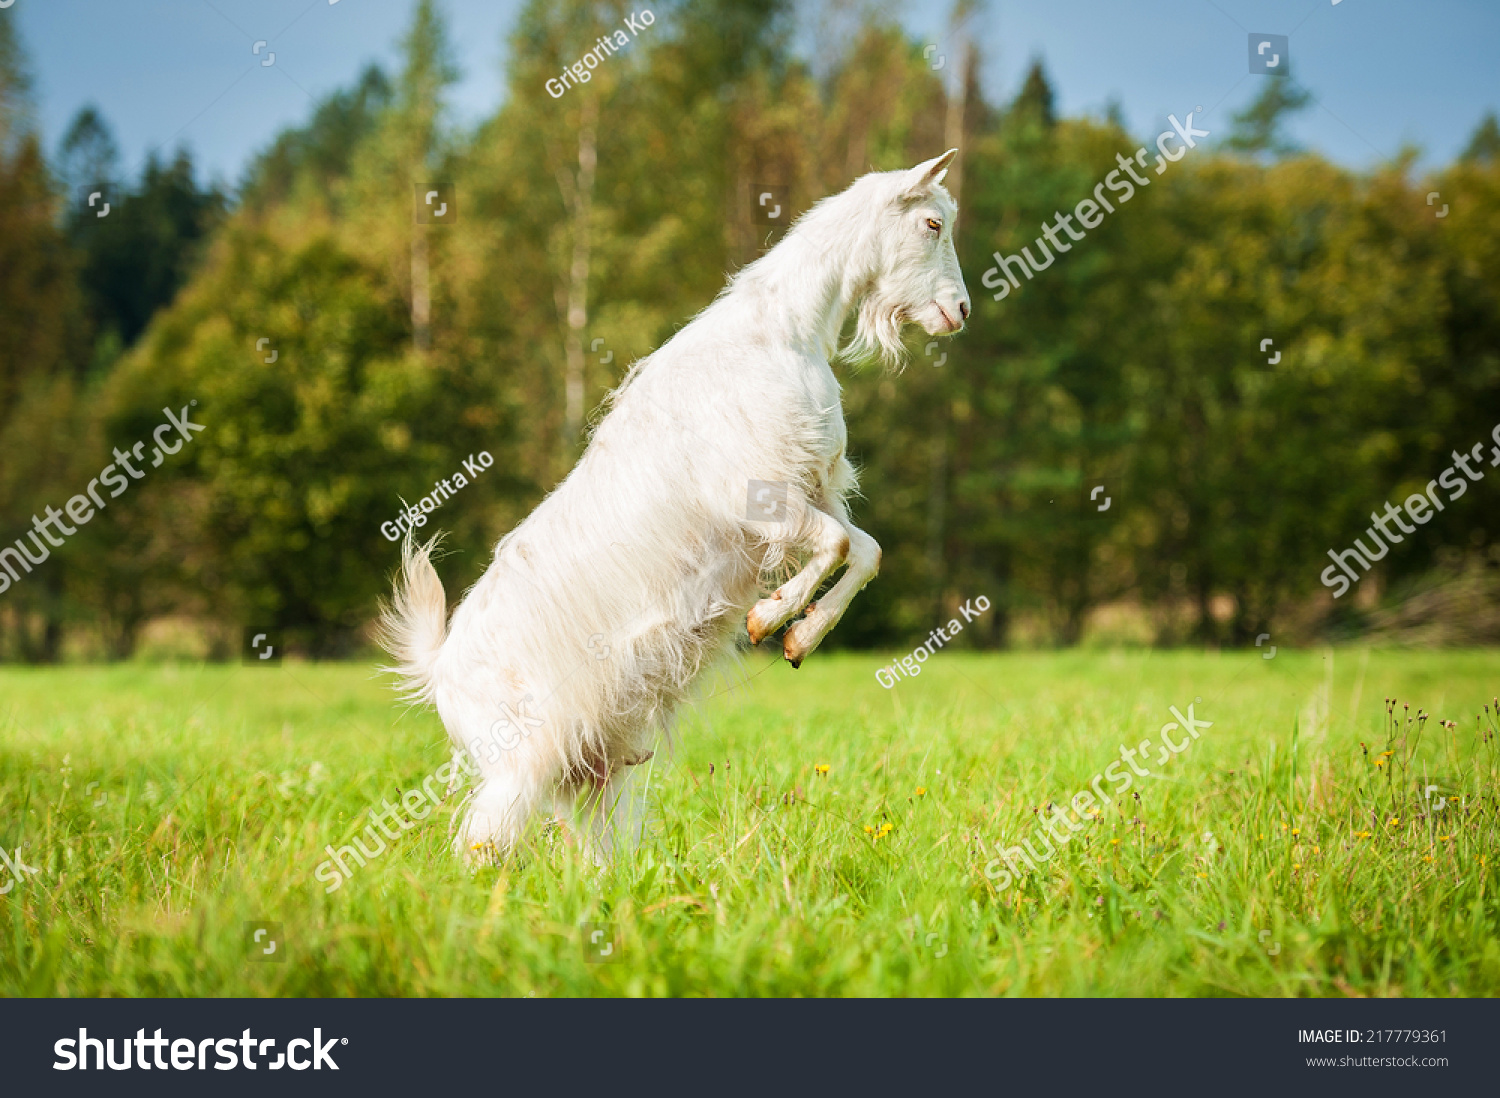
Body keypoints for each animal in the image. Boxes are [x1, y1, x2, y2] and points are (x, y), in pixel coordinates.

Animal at [384, 150, 972, 864]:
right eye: (932, 222)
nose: (961, 310)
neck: (783, 332)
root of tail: (439, 670)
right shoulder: (761, 498)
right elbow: (836, 545)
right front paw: (768, 618)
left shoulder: (814, 490)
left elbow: (866, 551)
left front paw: (799, 637)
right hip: (519, 766)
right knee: (478, 846)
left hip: (591, 773)